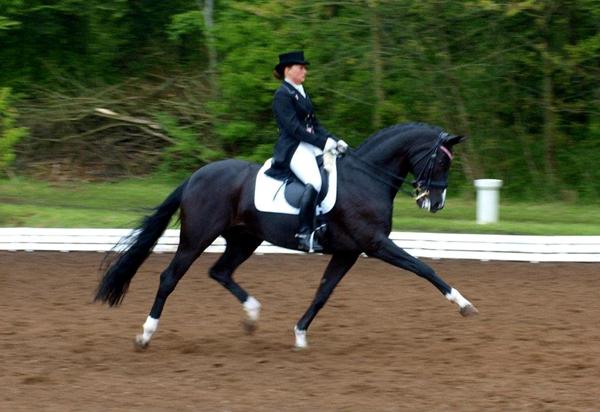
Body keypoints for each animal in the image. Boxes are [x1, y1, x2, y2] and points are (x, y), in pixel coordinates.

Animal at [95, 121, 478, 348]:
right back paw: (146, 334)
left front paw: (300, 334)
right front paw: (464, 305)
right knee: (170, 277)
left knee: (220, 271)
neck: (366, 179)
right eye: (441, 162)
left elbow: (323, 292)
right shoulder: (375, 244)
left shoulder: (349, 252)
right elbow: (423, 267)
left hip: (245, 239)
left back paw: (252, 315)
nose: (436, 203)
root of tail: (196, 176)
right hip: (197, 237)